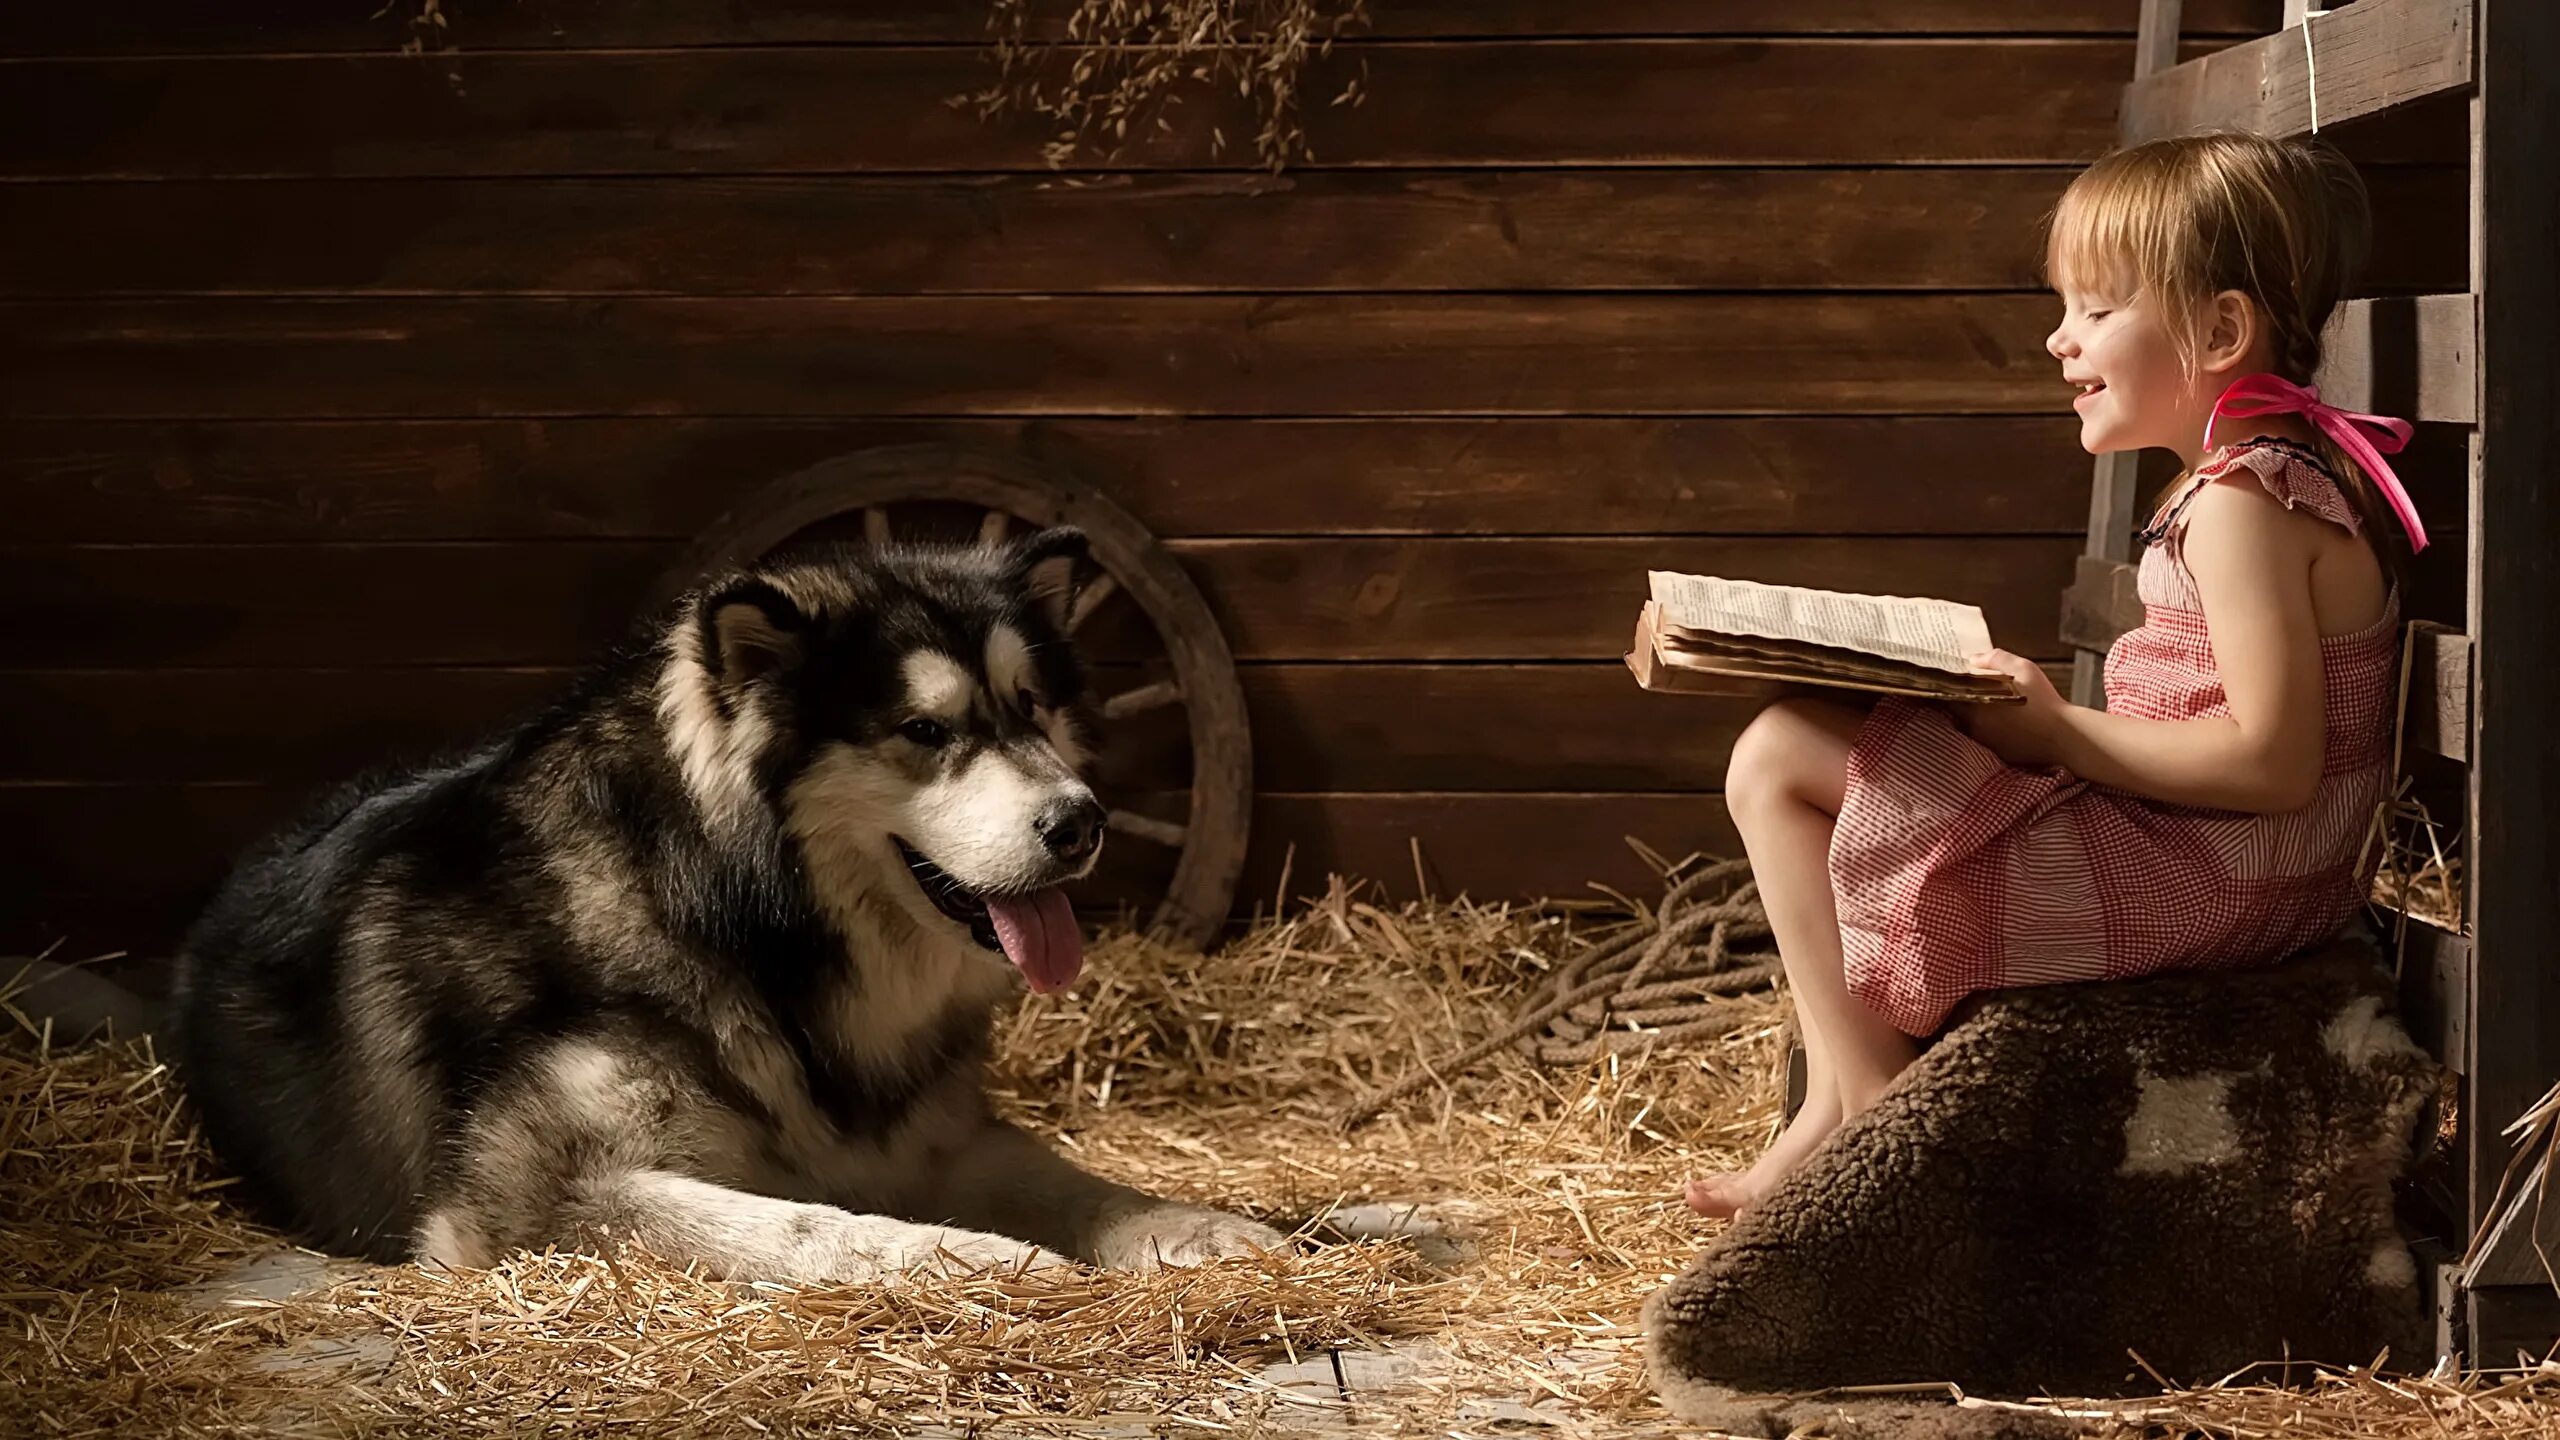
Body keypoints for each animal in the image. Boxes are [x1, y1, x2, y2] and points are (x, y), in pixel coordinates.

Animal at [165, 527, 1280, 1276]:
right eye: (924, 731)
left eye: (1034, 707)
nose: (1082, 823)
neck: (744, 935)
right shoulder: (524, 1204)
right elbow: (802, 1222)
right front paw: (972, 1259)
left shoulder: (931, 1140)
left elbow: (1068, 1180)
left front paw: (1191, 1223)